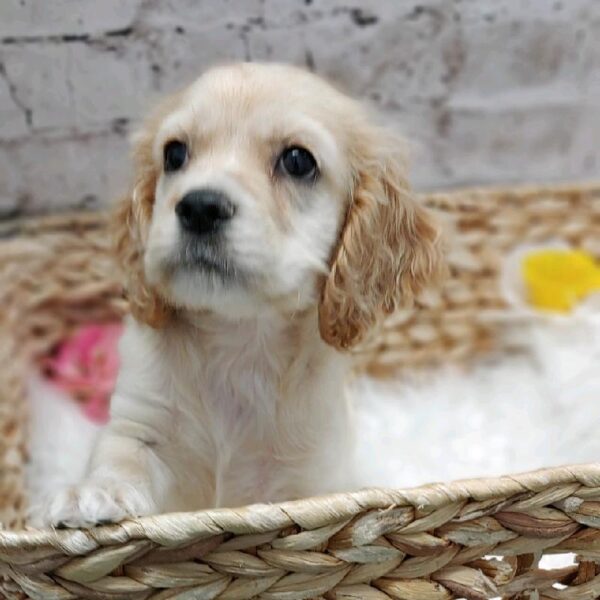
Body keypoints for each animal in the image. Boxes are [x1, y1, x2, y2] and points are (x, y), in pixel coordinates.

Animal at [39, 63, 438, 528]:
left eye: (298, 161)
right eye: (174, 154)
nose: (199, 207)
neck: (238, 336)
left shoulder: (310, 473)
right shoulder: (139, 421)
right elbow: (122, 457)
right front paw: (92, 493)